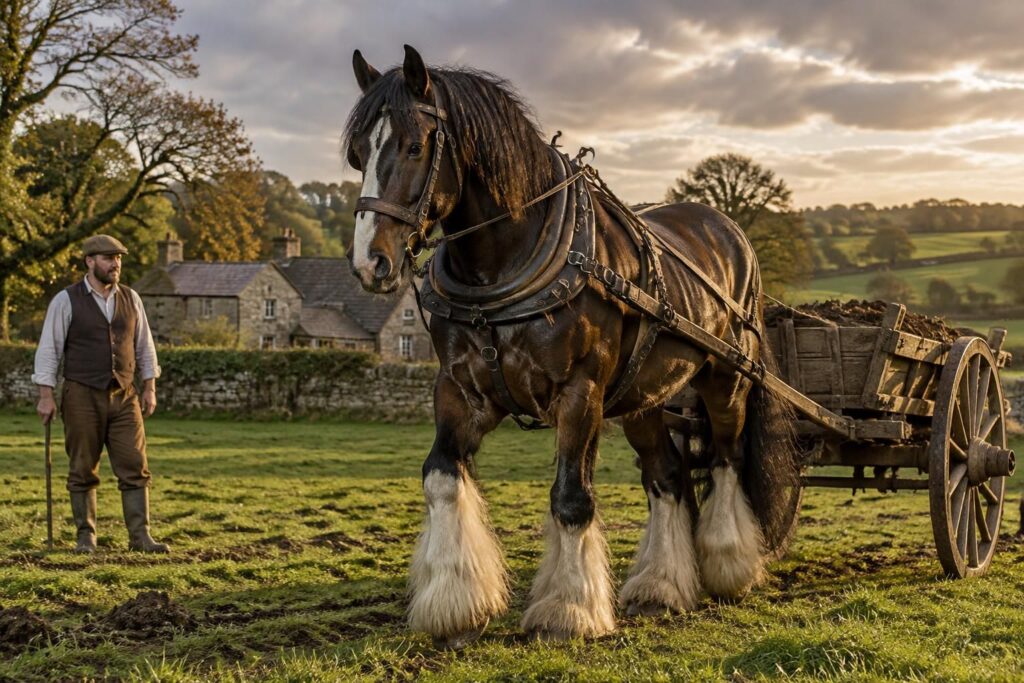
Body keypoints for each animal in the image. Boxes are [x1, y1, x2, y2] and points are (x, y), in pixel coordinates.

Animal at [343, 45, 798, 646]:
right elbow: (440, 476)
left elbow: (571, 498)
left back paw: (728, 563)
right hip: (645, 398)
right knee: (667, 477)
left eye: (415, 146)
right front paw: (455, 602)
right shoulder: (459, 390)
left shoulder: (581, 394)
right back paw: (659, 586)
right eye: (356, 154)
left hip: (726, 380)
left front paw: (568, 610)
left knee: (725, 458)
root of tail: (728, 227)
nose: (370, 262)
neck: (502, 268)